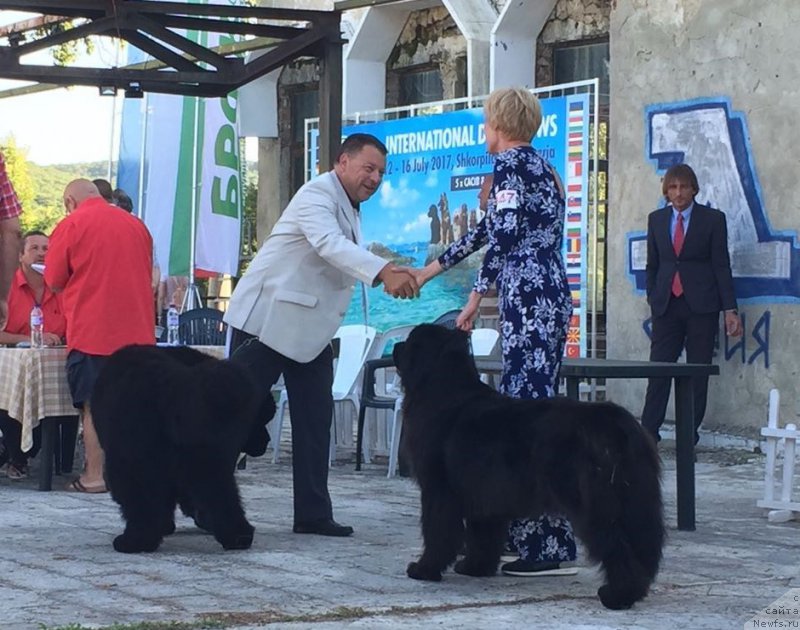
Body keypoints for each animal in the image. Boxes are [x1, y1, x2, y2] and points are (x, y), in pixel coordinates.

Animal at [91, 348, 276, 556]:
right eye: (260, 420)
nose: (267, 440)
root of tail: (172, 385)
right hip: (206, 459)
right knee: (221, 495)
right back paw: (239, 537)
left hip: (132, 460)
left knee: (141, 502)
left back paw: (134, 541)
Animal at [392, 326, 664, 612]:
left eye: (410, 341)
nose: (395, 347)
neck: (443, 390)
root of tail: (617, 423)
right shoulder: (485, 493)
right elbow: (482, 534)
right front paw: (474, 567)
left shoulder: (439, 490)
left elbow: (437, 532)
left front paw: (424, 569)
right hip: (635, 502)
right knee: (640, 547)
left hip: (596, 505)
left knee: (617, 546)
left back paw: (618, 595)